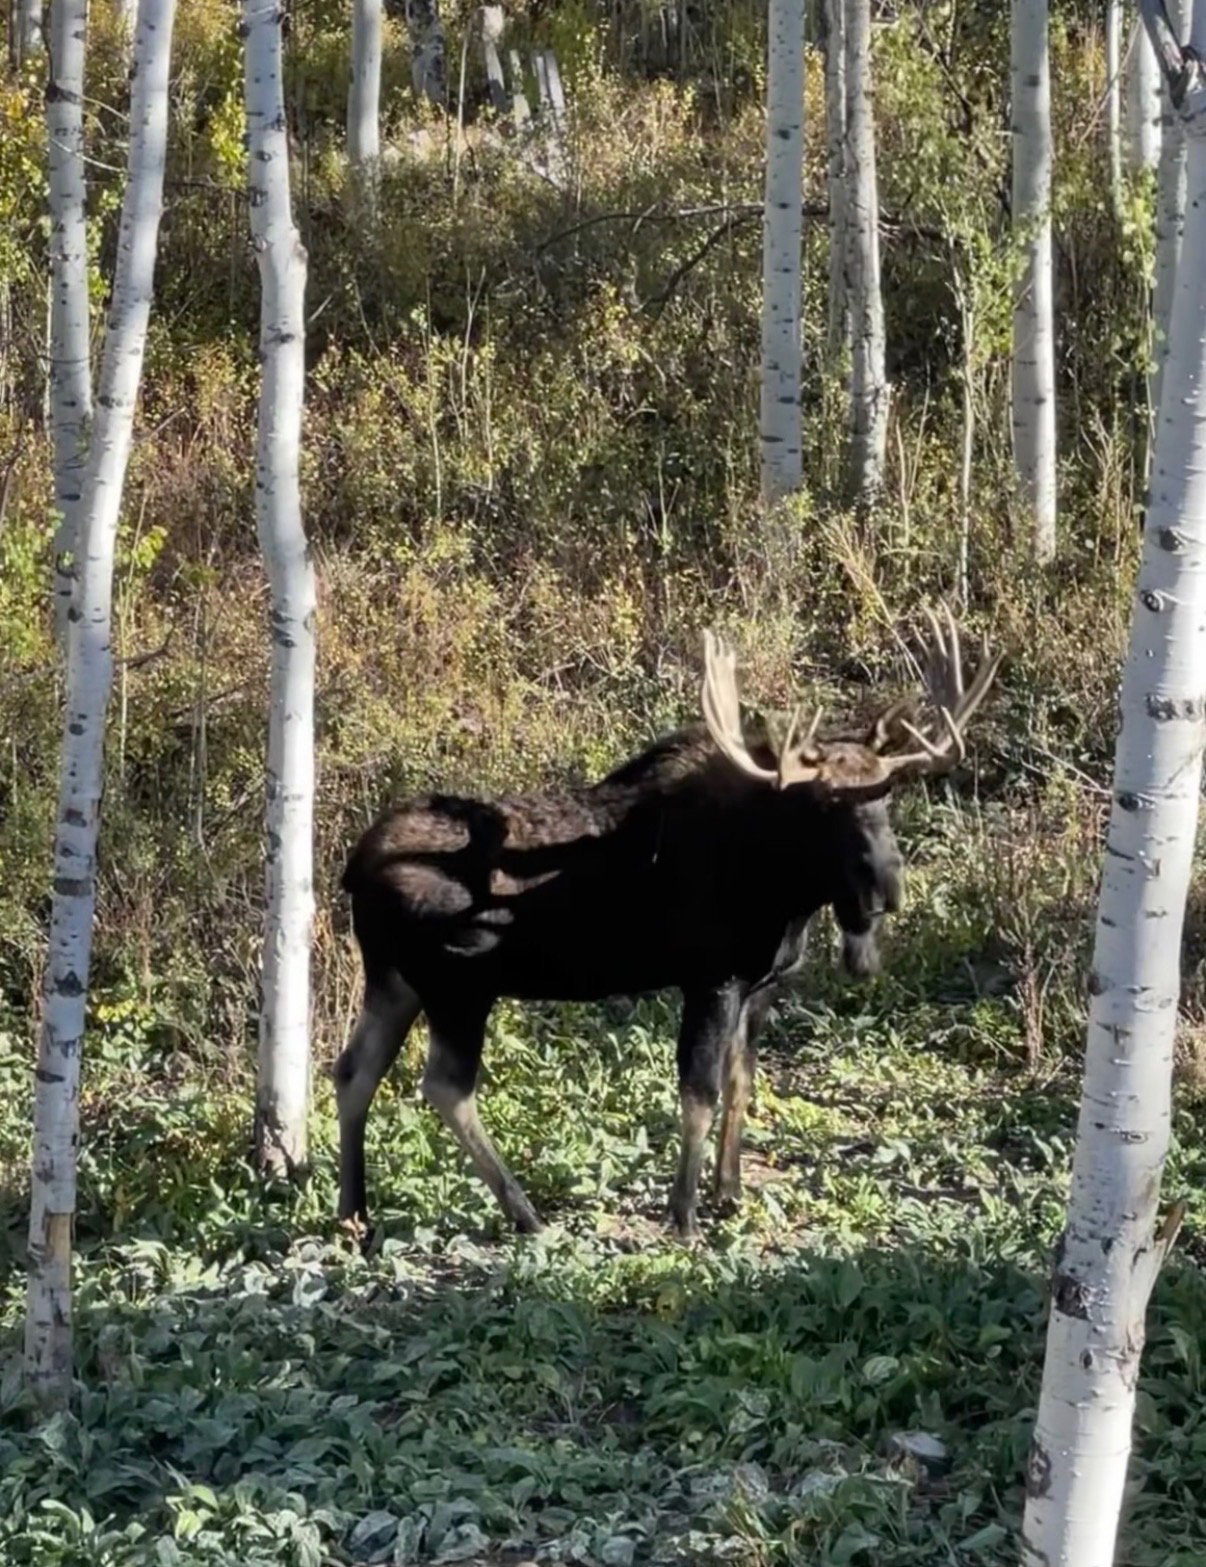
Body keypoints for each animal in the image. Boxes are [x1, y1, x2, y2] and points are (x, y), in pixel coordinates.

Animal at [334, 608, 1000, 1238]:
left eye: (887, 795)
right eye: (823, 805)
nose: (885, 887)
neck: (785, 892)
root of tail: (354, 869)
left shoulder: (760, 987)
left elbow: (742, 1082)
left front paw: (730, 1193)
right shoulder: (713, 980)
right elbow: (699, 1093)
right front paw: (683, 1215)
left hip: (394, 982)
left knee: (353, 1072)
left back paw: (354, 1214)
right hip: (457, 988)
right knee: (446, 1086)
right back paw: (524, 1214)